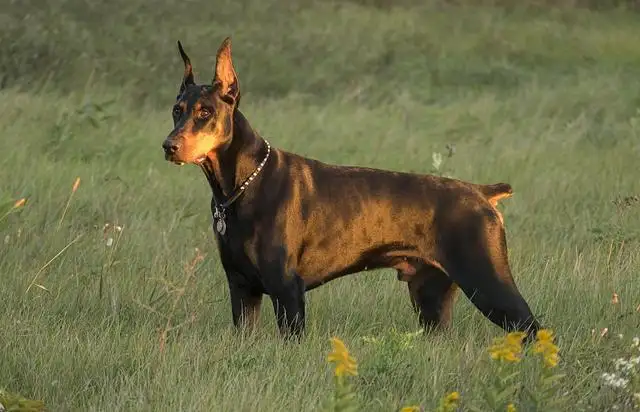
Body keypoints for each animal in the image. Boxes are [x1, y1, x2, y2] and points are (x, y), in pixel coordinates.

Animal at [162, 37, 544, 342]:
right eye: (177, 110)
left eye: (205, 112)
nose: (169, 146)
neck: (241, 184)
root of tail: (481, 192)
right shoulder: (242, 289)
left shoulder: (288, 290)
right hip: (430, 297)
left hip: (488, 283)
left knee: (534, 330)